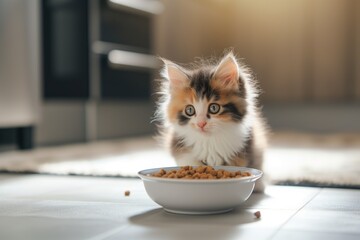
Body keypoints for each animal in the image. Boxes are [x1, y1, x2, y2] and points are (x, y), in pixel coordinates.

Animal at [154, 52, 268, 191]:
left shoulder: (243, 152)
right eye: (190, 110)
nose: (201, 124)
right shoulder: (183, 152)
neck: (209, 141)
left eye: (214, 108)